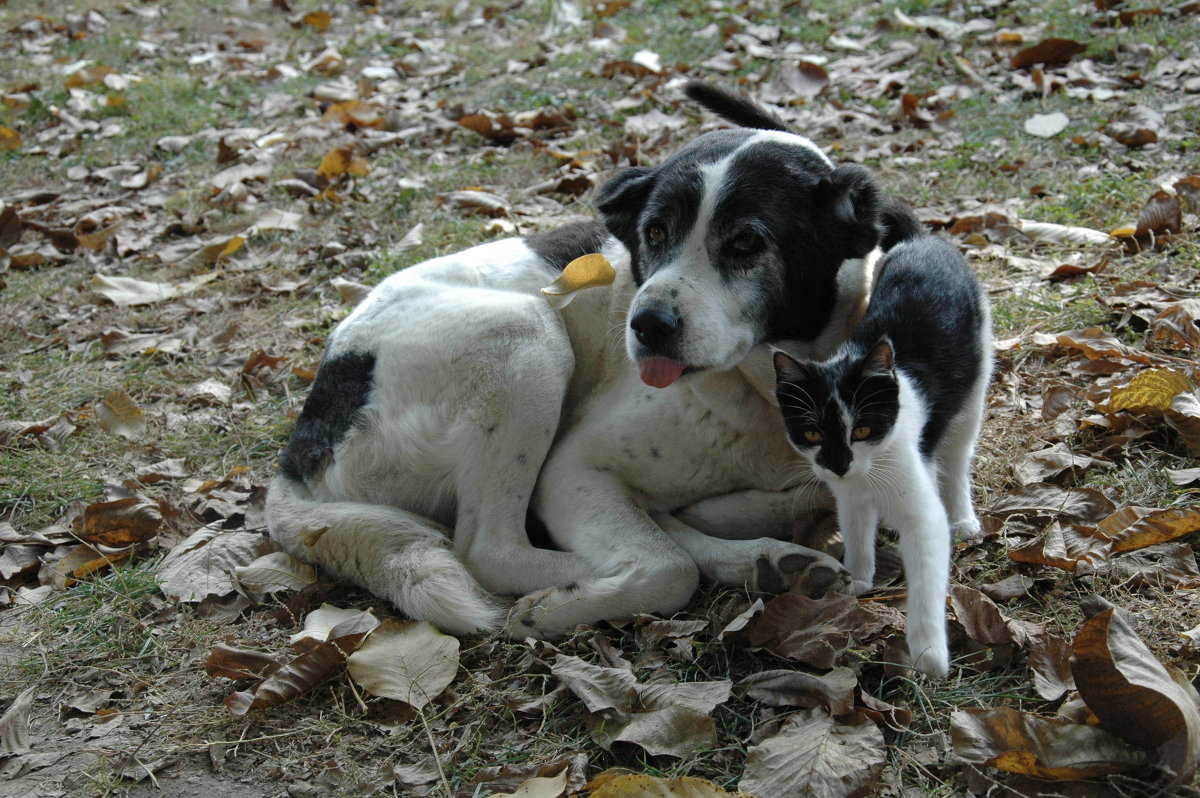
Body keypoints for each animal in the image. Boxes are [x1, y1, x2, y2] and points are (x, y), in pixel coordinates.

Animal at [267, 82, 921, 633]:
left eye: (745, 242)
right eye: (654, 234)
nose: (646, 324)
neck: (766, 392)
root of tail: (297, 461)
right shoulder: (571, 469)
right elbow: (670, 568)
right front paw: (563, 604)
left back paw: (769, 558)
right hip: (524, 336)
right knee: (489, 550)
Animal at [768, 234, 993, 676]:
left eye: (863, 430)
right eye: (813, 433)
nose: (839, 464)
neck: (869, 470)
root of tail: (927, 239)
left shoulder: (919, 509)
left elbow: (926, 568)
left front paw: (929, 653)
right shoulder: (848, 495)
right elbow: (856, 529)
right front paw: (858, 579)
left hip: (976, 379)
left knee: (958, 454)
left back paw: (963, 517)